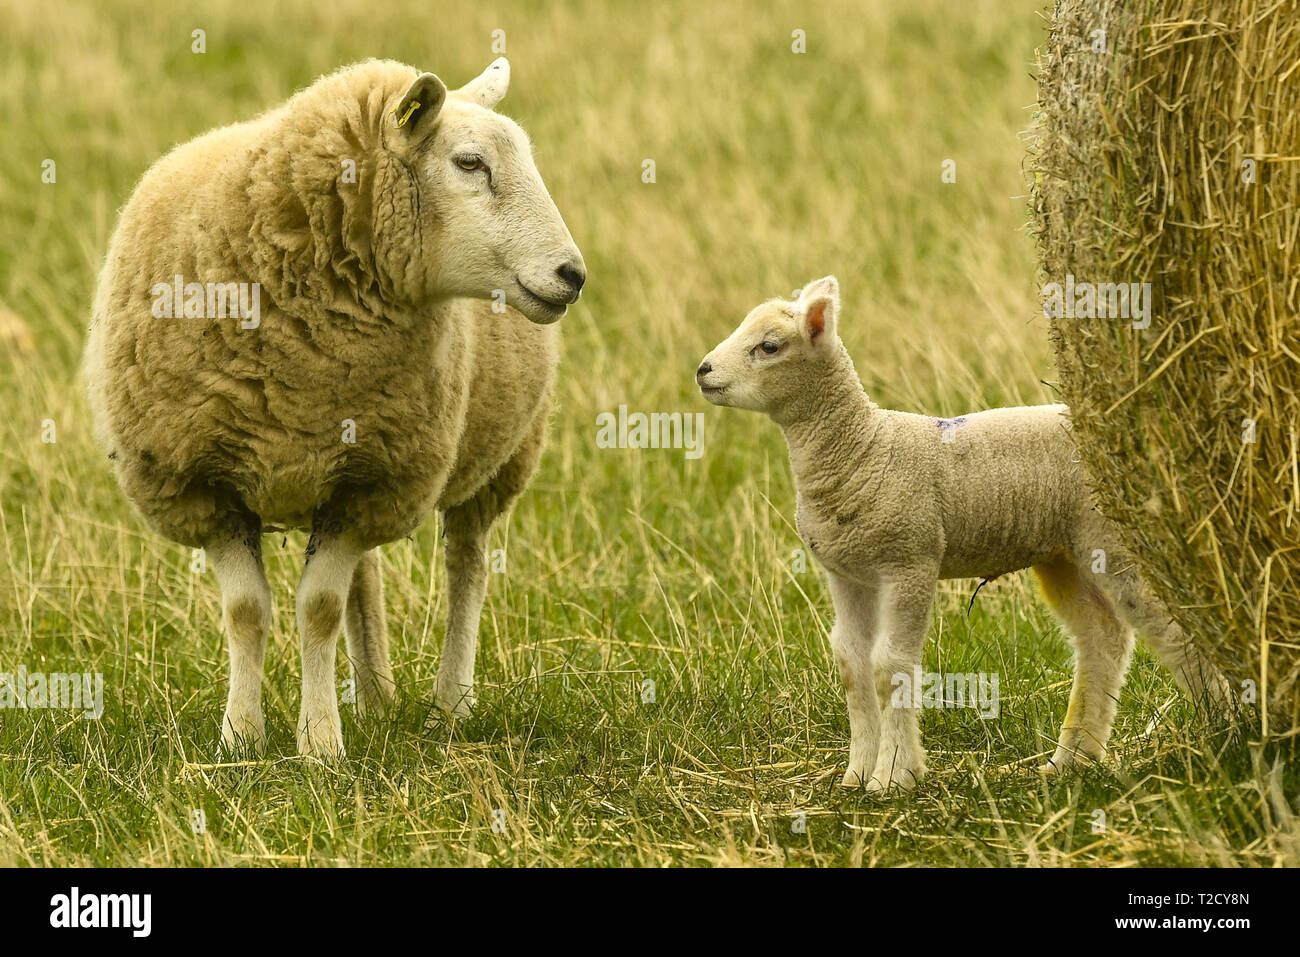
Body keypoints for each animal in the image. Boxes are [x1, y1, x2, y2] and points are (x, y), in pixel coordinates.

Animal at [83, 61, 587, 764]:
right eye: (469, 162)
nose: (573, 275)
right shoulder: (205, 483)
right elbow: (248, 612)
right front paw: (241, 737)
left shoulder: (371, 483)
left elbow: (318, 607)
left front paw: (319, 744)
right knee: (366, 579)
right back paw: (375, 697)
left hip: (493, 462)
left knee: (467, 568)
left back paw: (450, 703)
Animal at [696, 276, 1222, 790]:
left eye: (768, 346)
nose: (702, 371)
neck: (863, 448)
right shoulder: (848, 573)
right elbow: (851, 663)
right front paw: (856, 773)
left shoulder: (910, 561)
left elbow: (890, 665)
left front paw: (894, 776)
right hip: (1064, 553)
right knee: (1102, 638)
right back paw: (1073, 758)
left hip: (1115, 539)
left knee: (1174, 626)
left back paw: (1223, 721)